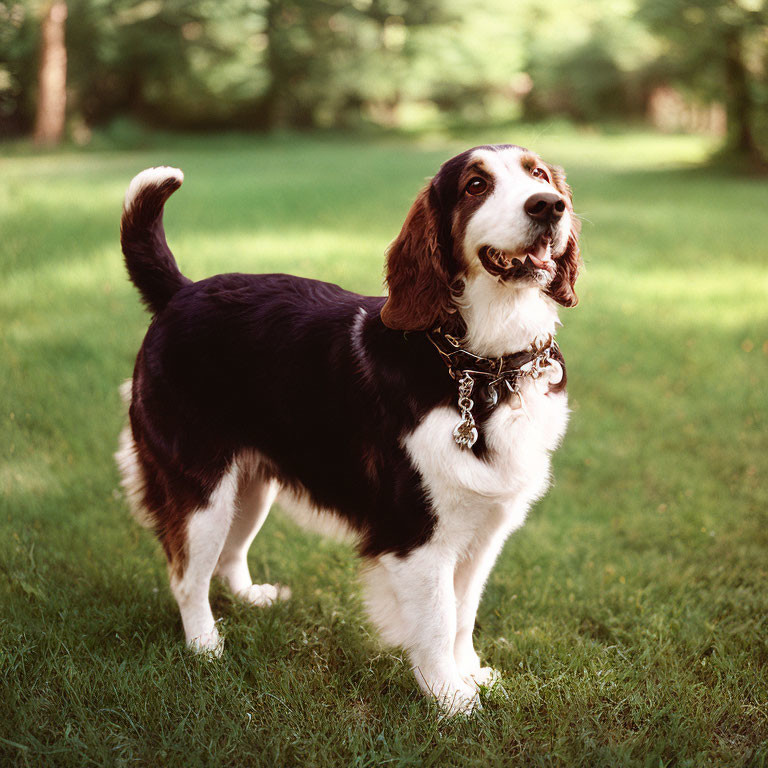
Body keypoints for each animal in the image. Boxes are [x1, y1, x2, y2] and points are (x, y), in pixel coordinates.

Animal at [115, 144, 584, 712]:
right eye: (476, 185)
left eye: (538, 174)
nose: (549, 205)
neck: (483, 365)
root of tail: (180, 293)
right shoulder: (415, 537)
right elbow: (437, 621)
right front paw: (450, 699)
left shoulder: (484, 528)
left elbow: (463, 614)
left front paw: (471, 673)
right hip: (200, 487)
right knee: (186, 576)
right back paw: (206, 647)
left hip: (250, 485)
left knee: (229, 554)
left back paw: (250, 599)